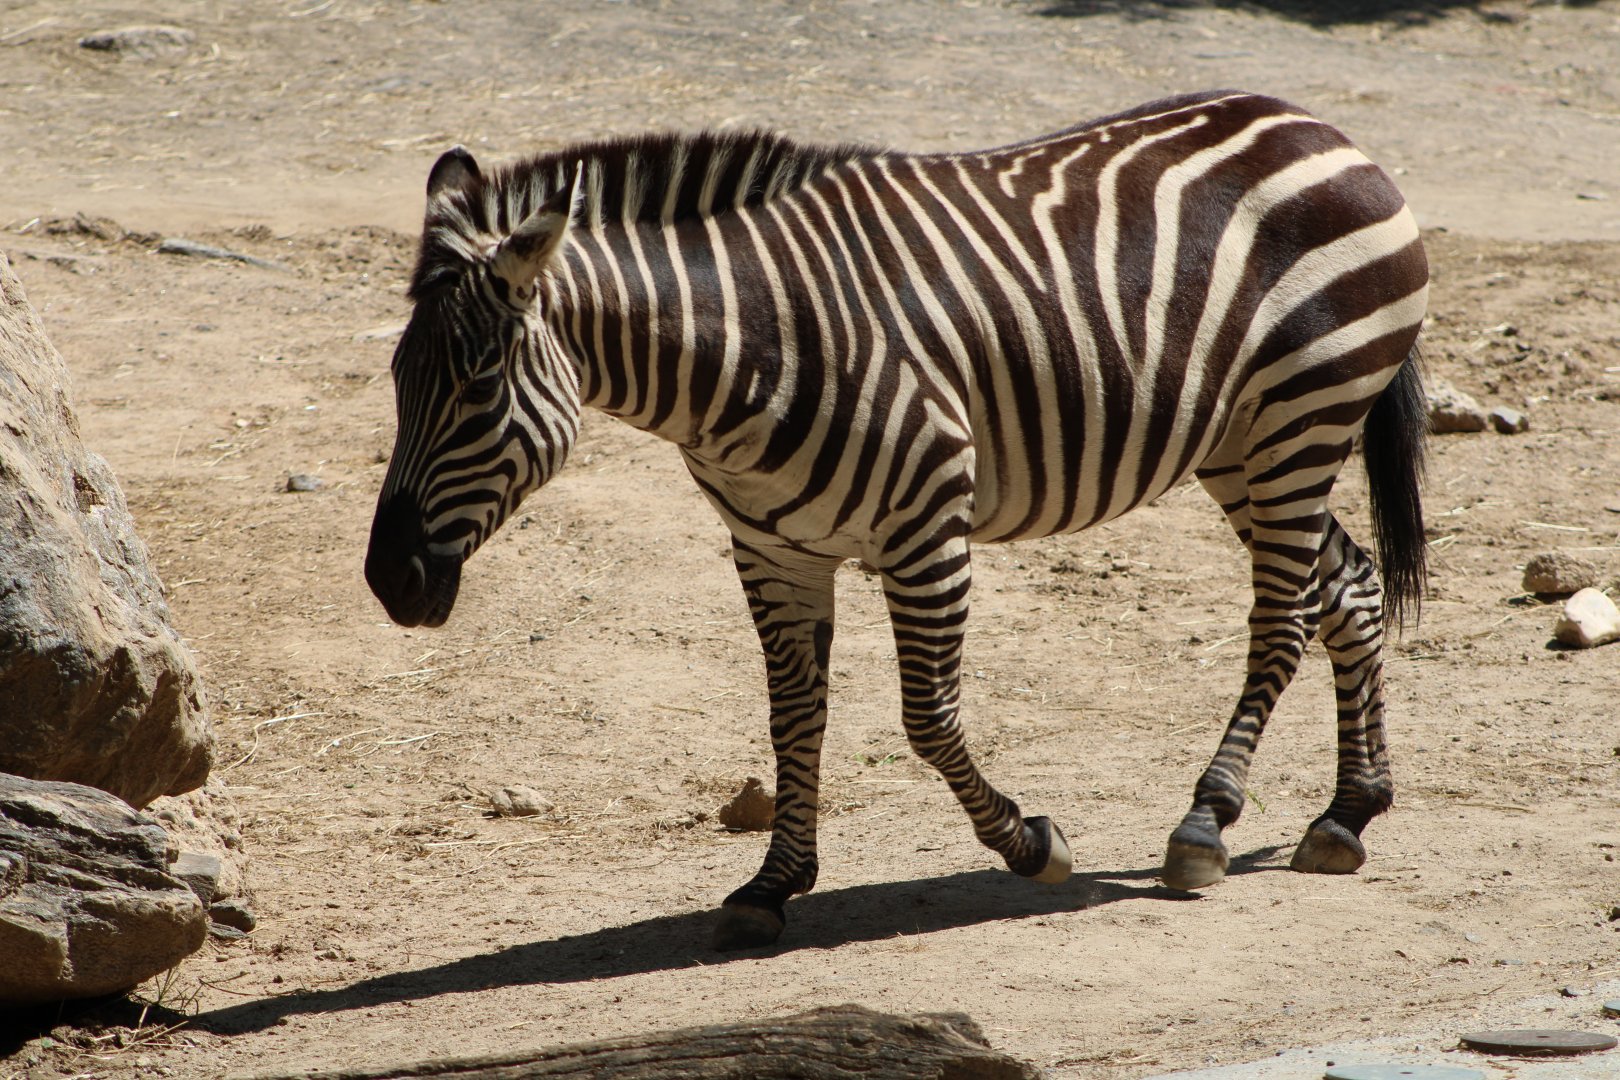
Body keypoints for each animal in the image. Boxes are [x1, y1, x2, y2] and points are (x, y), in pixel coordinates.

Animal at [365, 90, 1429, 951]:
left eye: (478, 386)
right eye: (397, 380)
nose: (387, 581)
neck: (753, 347)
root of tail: (1318, 126)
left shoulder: (927, 530)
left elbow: (926, 717)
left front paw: (1030, 843)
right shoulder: (772, 547)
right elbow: (794, 716)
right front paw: (773, 885)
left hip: (1302, 415)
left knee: (1281, 618)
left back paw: (1205, 823)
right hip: (1239, 445)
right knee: (1349, 585)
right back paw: (1348, 814)